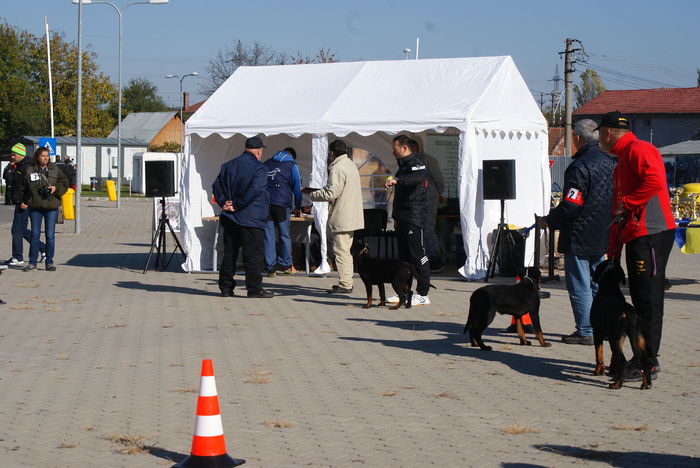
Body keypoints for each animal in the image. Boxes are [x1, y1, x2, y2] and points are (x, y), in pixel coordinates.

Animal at [592, 260, 656, 392]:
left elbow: (598, 353)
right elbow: (612, 357)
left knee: (622, 361)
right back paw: (646, 384)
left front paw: (599, 371)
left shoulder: (597, 331)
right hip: (638, 337)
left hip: (615, 338)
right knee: (645, 360)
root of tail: (629, 313)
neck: (609, 289)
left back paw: (617, 384)